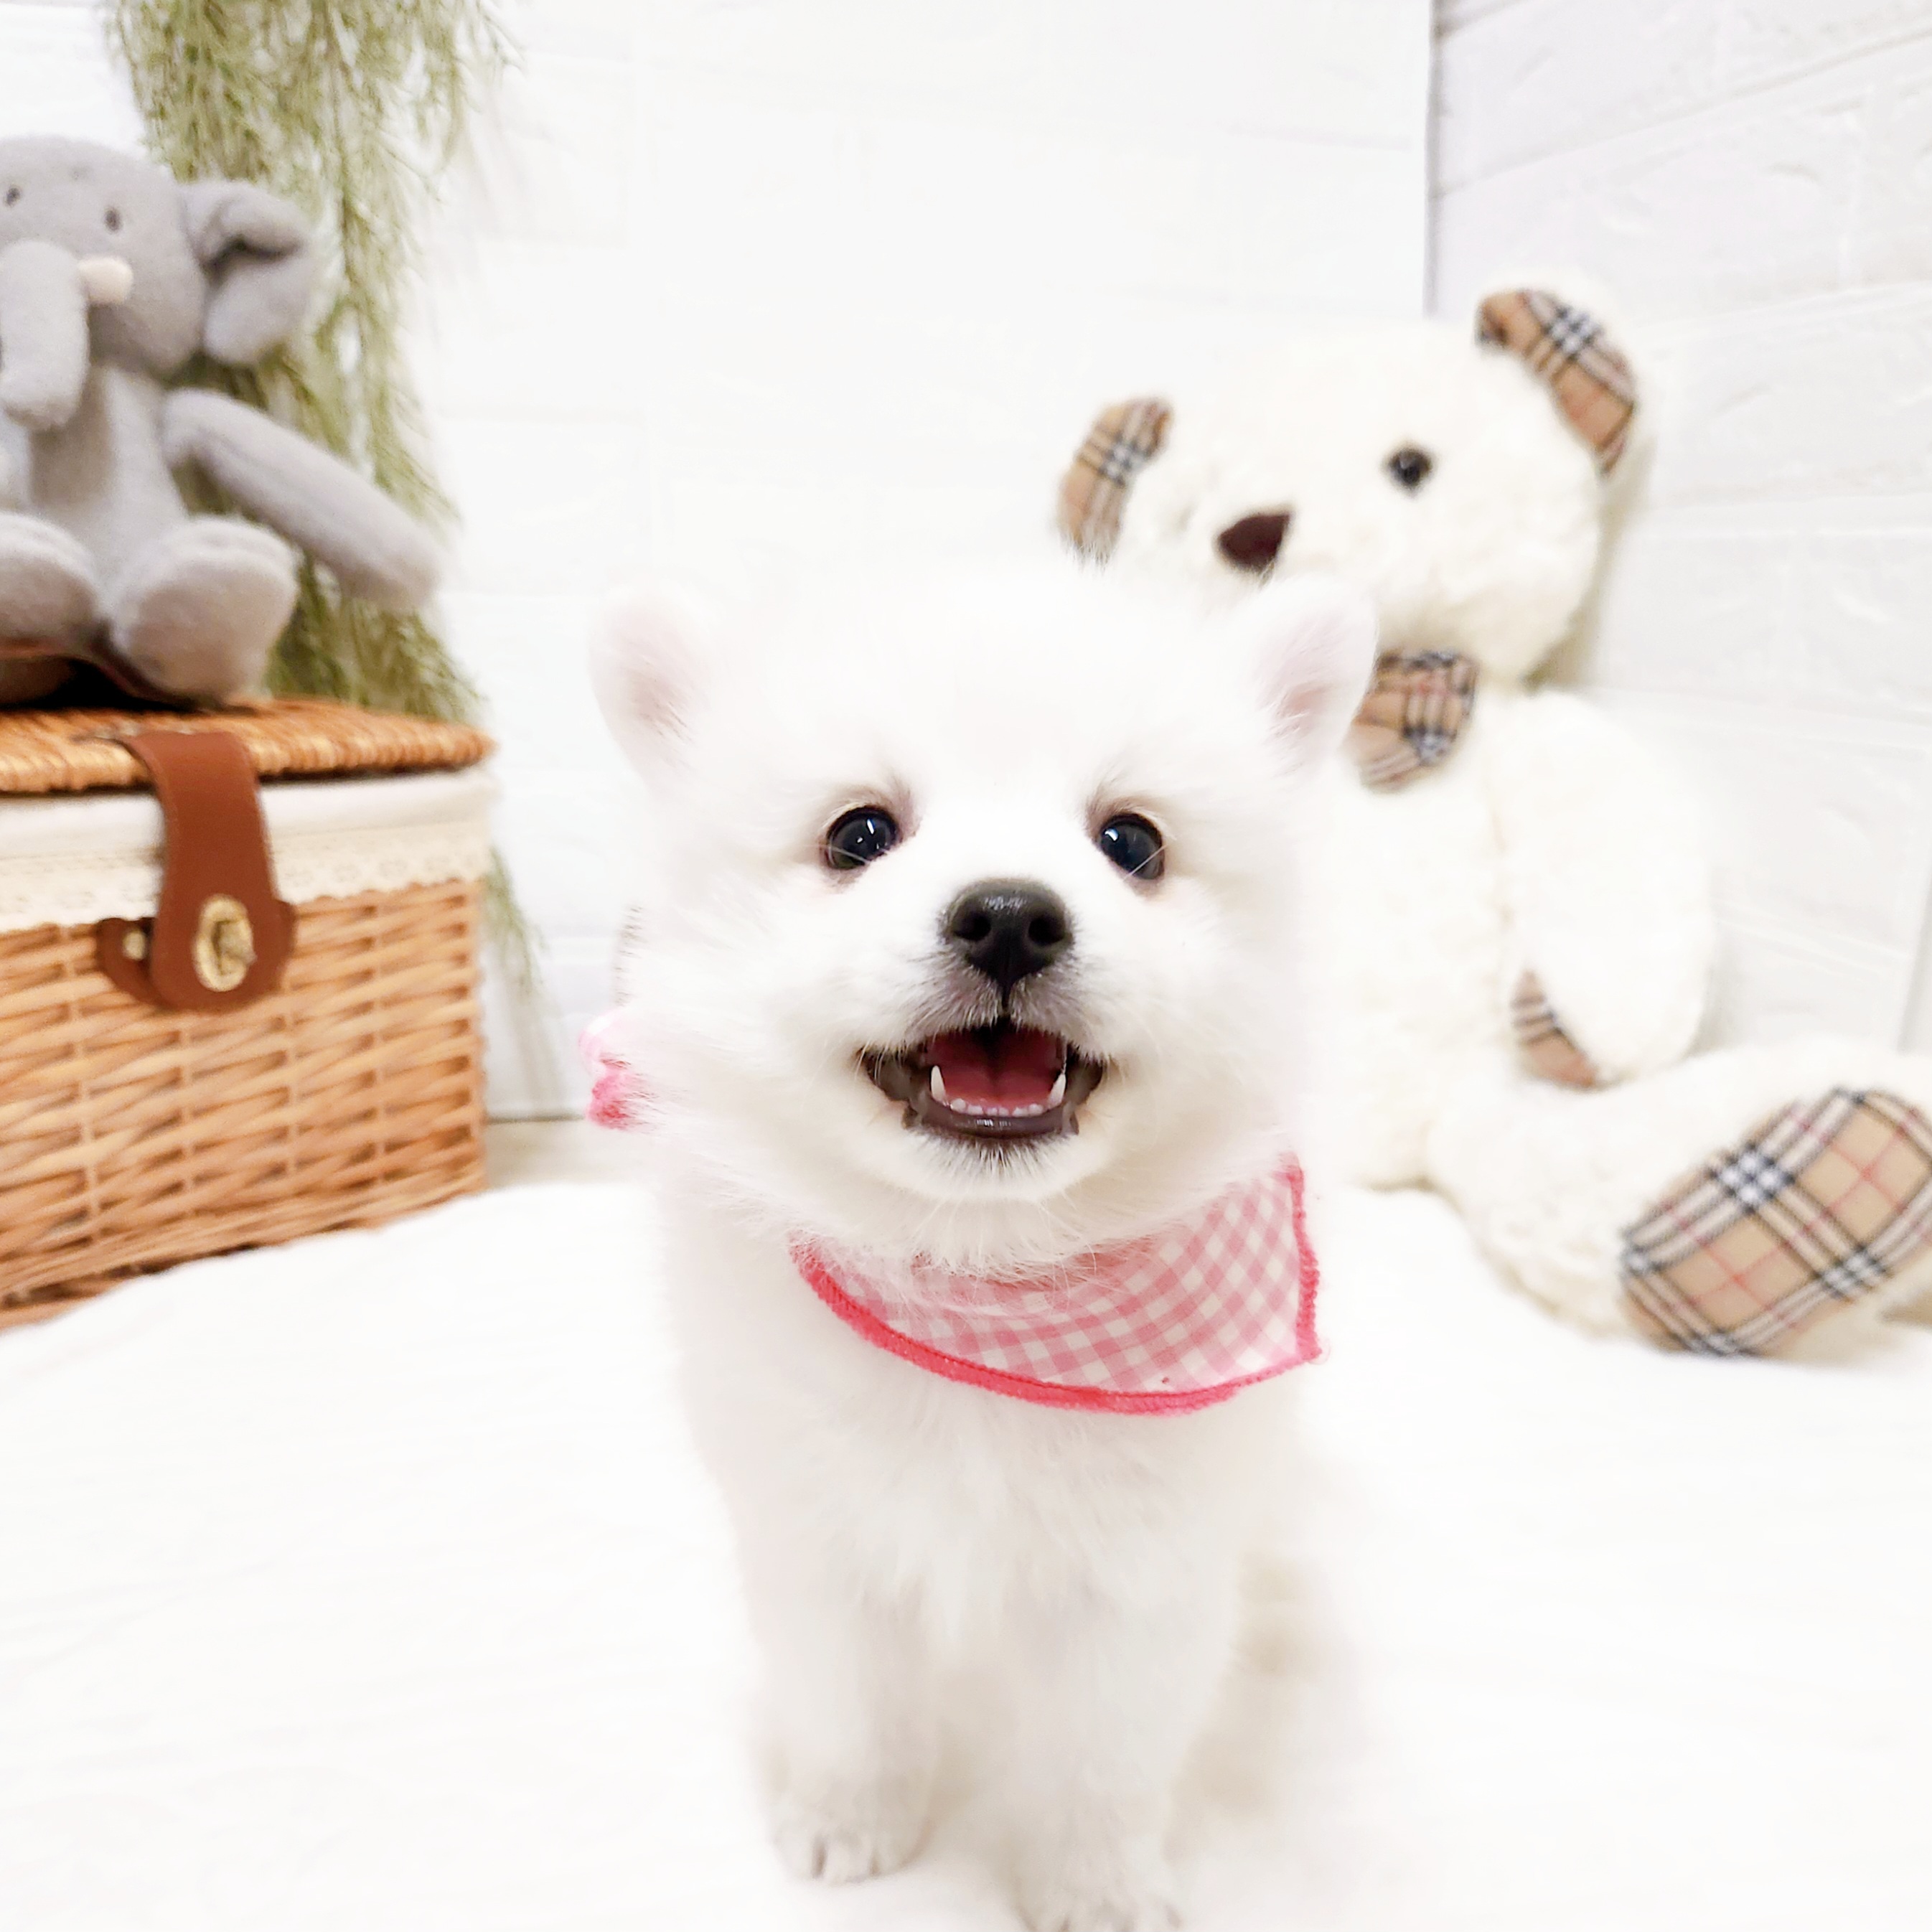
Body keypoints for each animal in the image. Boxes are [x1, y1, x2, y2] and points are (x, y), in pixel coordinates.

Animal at [591, 560, 1375, 1930]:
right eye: (858, 834)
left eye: (1132, 842)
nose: (1010, 916)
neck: (981, 1281)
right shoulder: (817, 1531)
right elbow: (849, 1707)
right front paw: (851, 1823)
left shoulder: (1145, 1577)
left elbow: (1103, 1762)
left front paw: (1093, 1888)